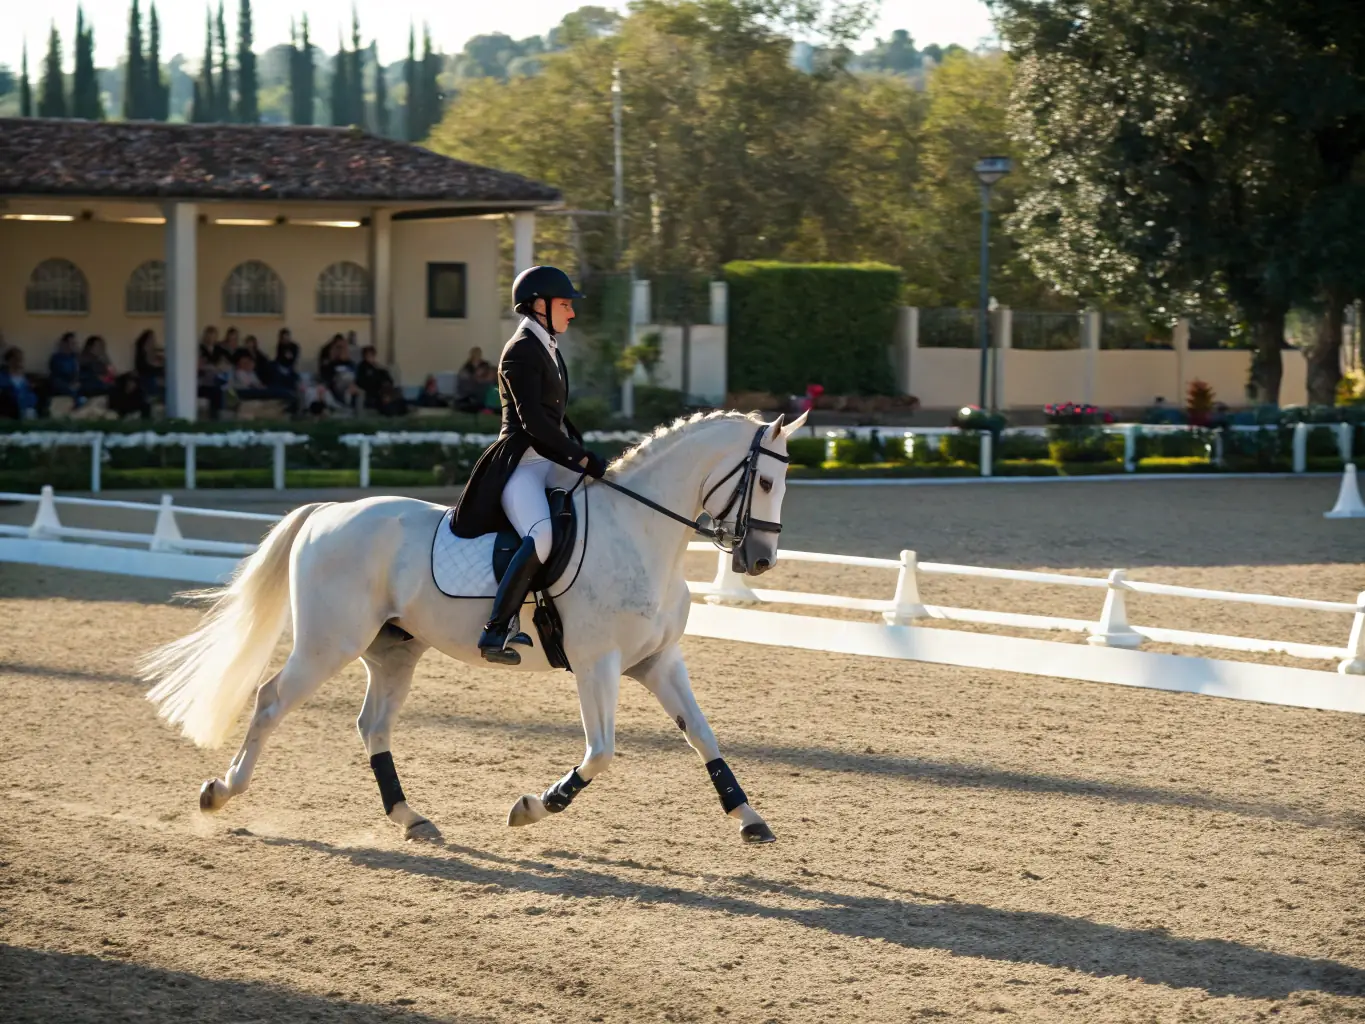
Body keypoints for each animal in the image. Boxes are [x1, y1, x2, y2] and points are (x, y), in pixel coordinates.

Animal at [142, 409, 807, 845]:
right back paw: (221, 792)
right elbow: (601, 753)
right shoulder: (598, 664)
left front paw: (751, 820)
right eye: (765, 481)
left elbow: (704, 737)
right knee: (271, 700)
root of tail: (328, 510)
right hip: (329, 643)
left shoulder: (658, 660)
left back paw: (411, 818)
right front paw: (535, 806)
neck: (641, 534)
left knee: (372, 725)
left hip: (393, 651)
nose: (760, 561)